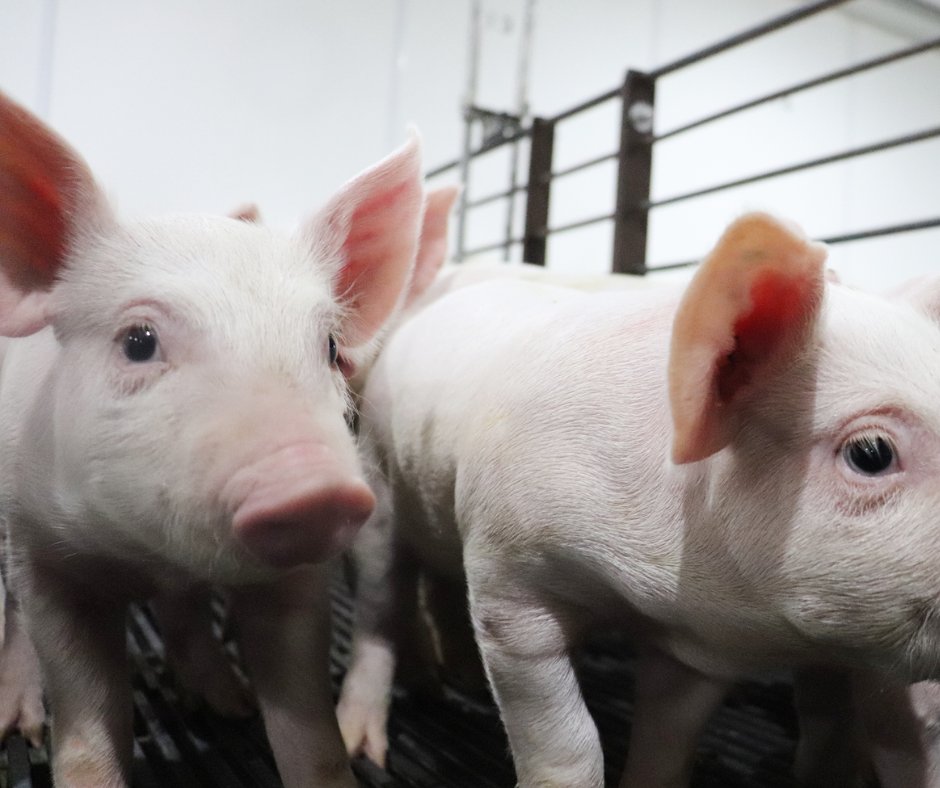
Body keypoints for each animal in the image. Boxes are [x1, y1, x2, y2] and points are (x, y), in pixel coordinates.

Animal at [0, 90, 425, 787]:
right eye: (139, 340)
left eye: (330, 346)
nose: (314, 485)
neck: (148, 554)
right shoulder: (45, 556)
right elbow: (86, 714)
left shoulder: (297, 581)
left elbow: (308, 728)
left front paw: (263, 718)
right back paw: (22, 722)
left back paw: (225, 701)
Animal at [339, 210, 940, 787]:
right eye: (870, 453)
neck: (638, 591)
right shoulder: (507, 577)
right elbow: (567, 742)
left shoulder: (692, 649)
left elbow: (667, 748)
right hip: (376, 478)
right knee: (380, 605)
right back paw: (364, 743)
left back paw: (456, 682)